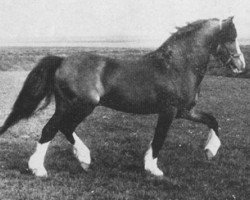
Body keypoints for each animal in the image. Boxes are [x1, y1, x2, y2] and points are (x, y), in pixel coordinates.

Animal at [0, 16, 246, 177]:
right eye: (231, 37)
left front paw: (210, 151)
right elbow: (159, 138)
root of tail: (62, 60)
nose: (240, 65)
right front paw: (153, 169)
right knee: (51, 129)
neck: (176, 65)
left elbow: (212, 120)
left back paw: (84, 159)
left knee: (65, 128)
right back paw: (39, 169)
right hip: (79, 105)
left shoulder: (185, 111)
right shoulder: (169, 111)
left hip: (73, 106)